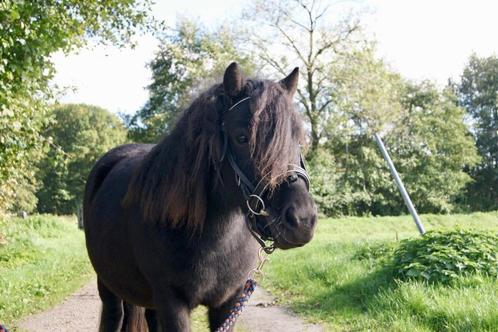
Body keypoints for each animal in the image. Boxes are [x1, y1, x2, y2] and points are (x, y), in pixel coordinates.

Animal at [81, 63, 316, 332]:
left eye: (297, 139)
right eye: (242, 137)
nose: (302, 221)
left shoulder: (229, 302)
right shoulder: (171, 303)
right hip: (108, 288)